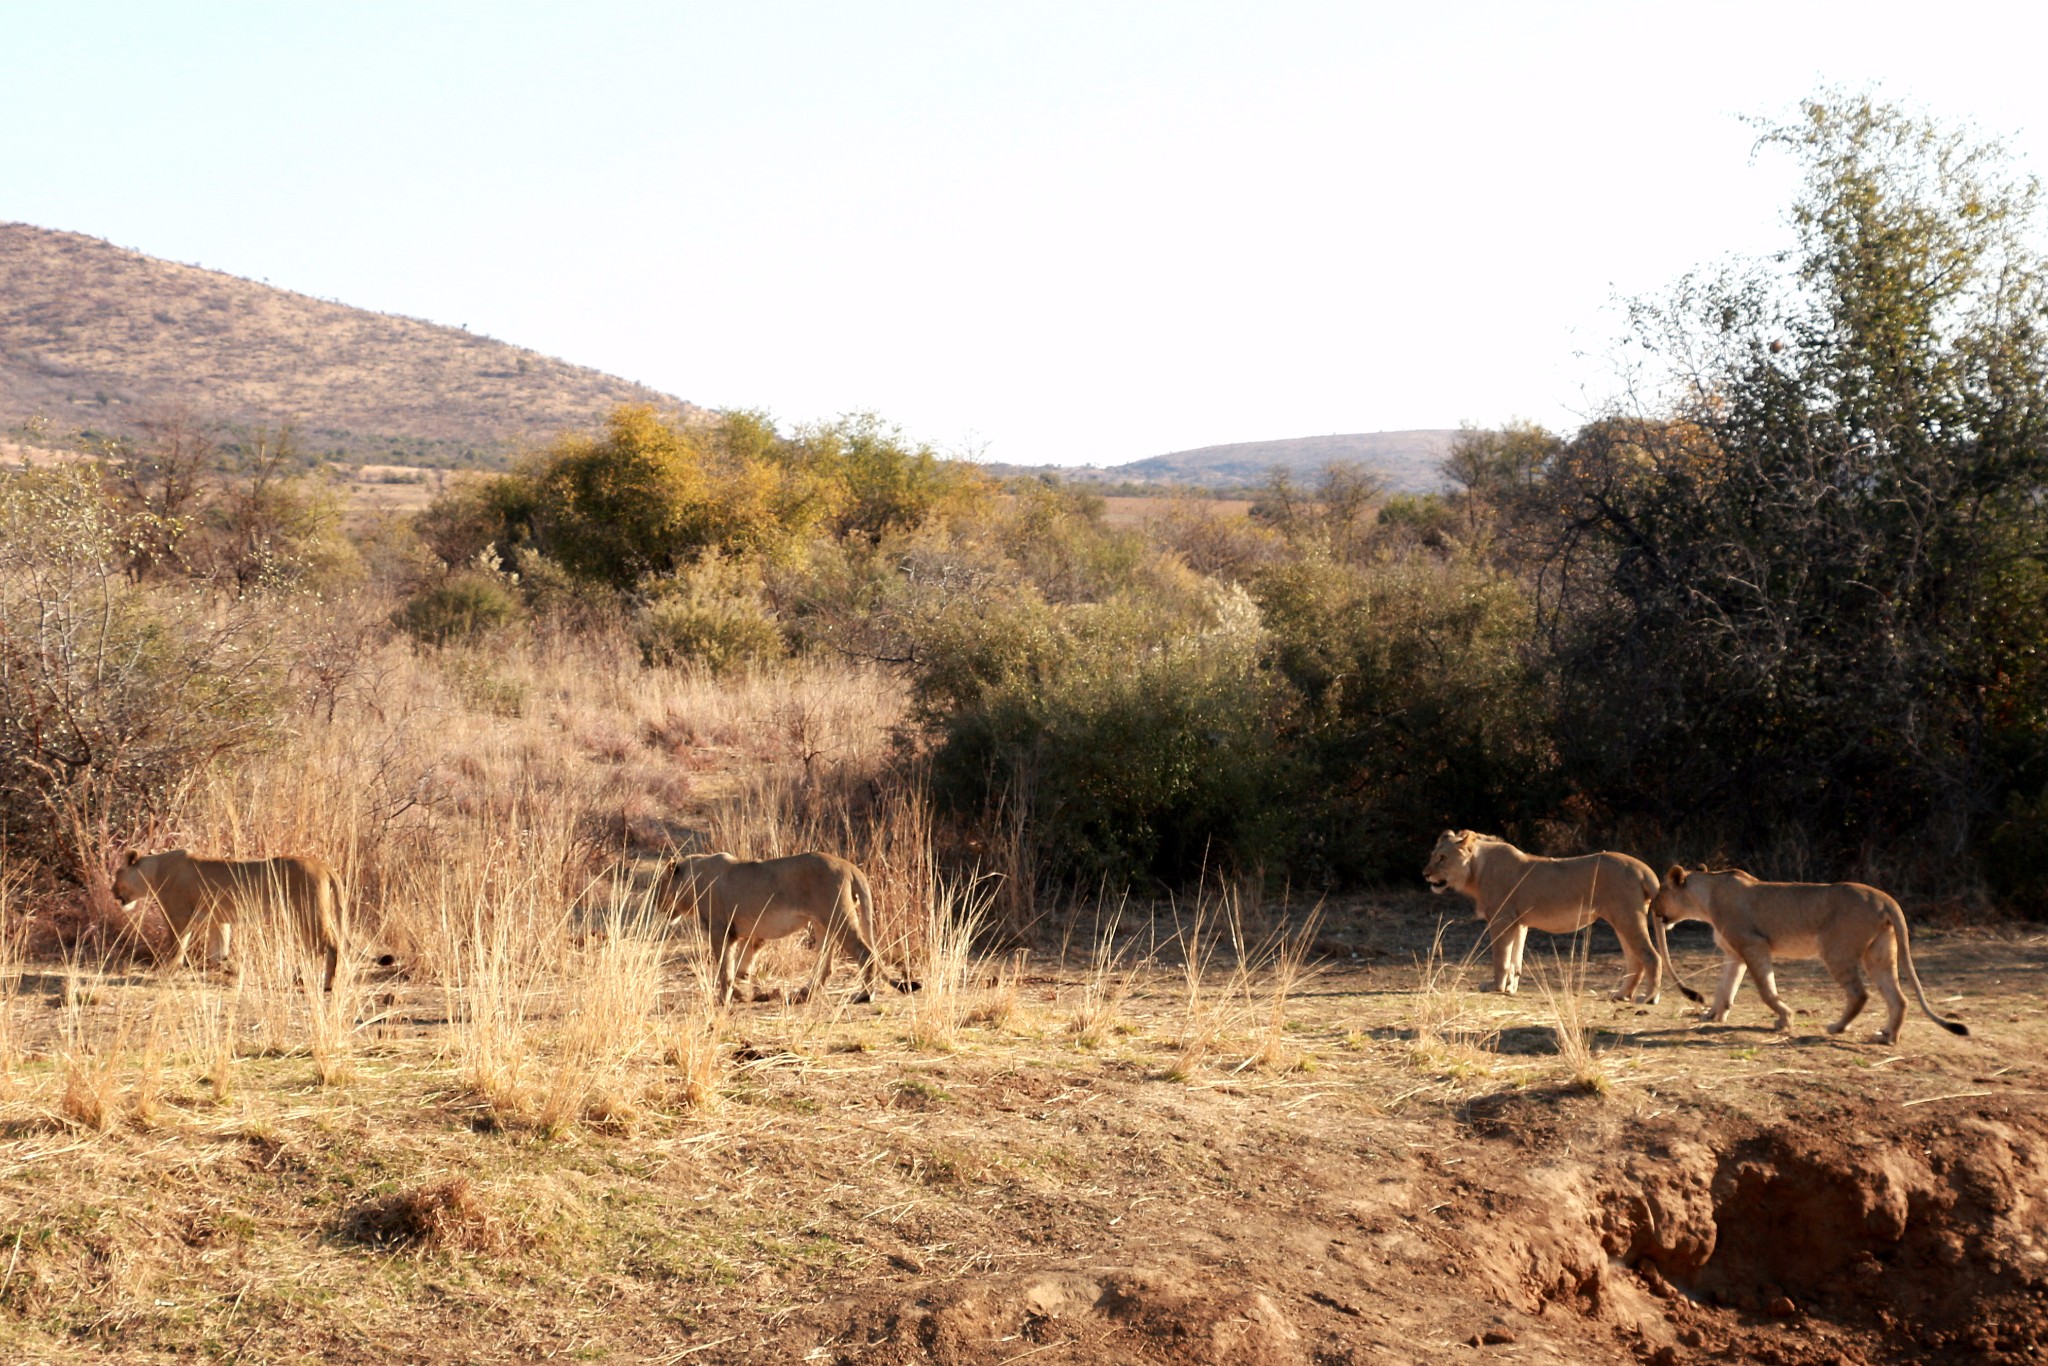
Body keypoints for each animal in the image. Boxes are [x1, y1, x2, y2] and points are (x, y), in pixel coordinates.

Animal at [111, 843, 344, 995]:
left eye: (116, 874)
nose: (111, 891)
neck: (154, 871)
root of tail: (324, 866)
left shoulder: (179, 916)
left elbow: (177, 946)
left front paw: (165, 971)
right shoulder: (219, 919)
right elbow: (218, 952)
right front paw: (232, 968)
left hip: (308, 913)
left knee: (330, 945)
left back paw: (326, 984)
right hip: (302, 916)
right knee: (313, 948)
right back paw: (300, 978)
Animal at [655, 856, 921, 1003]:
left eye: (660, 883)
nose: (657, 904)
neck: (693, 878)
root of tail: (849, 866)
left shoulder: (720, 929)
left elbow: (723, 968)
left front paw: (726, 997)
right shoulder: (747, 932)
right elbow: (740, 962)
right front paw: (741, 989)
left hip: (839, 916)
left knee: (865, 953)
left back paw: (864, 995)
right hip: (823, 923)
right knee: (827, 963)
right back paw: (805, 993)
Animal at [1425, 823, 1695, 1003]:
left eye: (1442, 858)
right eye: (1432, 856)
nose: (1424, 874)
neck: (1475, 871)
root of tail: (1644, 869)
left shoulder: (1502, 919)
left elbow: (1500, 958)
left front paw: (1495, 987)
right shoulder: (1519, 923)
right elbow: (1515, 959)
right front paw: (1511, 988)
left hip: (1627, 917)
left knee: (1651, 956)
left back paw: (1648, 998)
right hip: (1621, 919)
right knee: (1635, 960)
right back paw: (1620, 994)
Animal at [1646, 864, 1966, 1048]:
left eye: (1660, 892)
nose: (1654, 909)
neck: (1705, 899)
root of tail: (1885, 897)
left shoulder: (1755, 945)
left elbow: (1766, 990)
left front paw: (1784, 1019)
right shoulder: (1734, 954)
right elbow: (1724, 989)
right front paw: (1712, 1015)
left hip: (1835, 950)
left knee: (1860, 994)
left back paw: (1837, 1027)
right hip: (1879, 954)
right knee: (1898, 998)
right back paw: (1887, 1037)